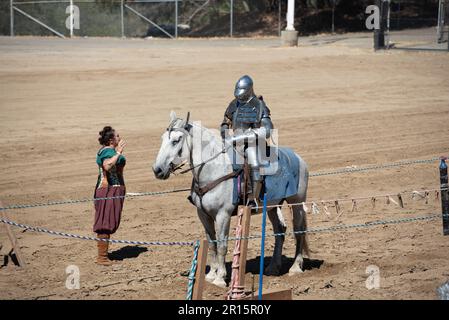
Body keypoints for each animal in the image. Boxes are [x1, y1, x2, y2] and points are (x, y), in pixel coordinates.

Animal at [151, 111, 308, 288]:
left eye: (176, 140)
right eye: (162, 138)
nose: (157, 170)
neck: (213, 169)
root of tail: (298, 158)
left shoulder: (223, 215)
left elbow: (222, 245)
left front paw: (220, 278)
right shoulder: (203, 215)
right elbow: (212, 244)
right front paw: (211, 275)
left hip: (297, 203)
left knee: (299, 231)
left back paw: (295, 267)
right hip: (272, 207)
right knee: (280, 231)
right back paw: (273, 267)